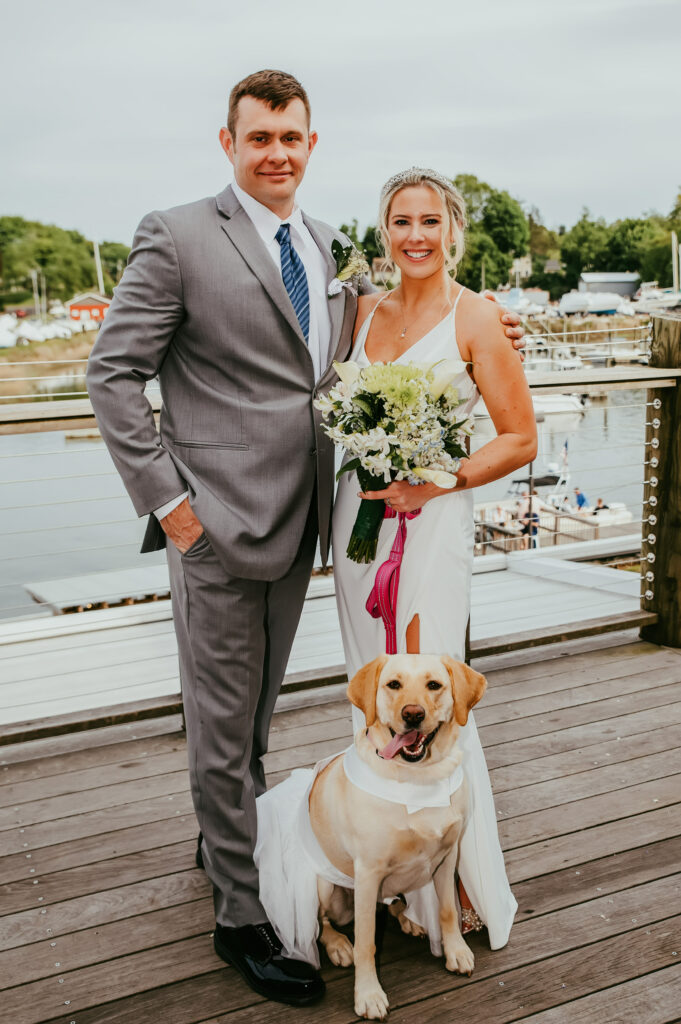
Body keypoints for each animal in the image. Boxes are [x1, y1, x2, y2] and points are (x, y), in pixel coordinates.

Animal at [307, 651, 483, 1019]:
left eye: (434, 685)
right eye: (393, 684)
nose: (412, 714)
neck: (419, 778)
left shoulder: (447, 857)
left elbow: (448, 910)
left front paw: (455, 951)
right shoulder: (368, 873)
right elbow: (366, 942)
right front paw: (368, 994)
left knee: (390, 905)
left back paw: (408, 918)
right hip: (326, 887)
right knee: (321, 924)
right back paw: (338, 945)